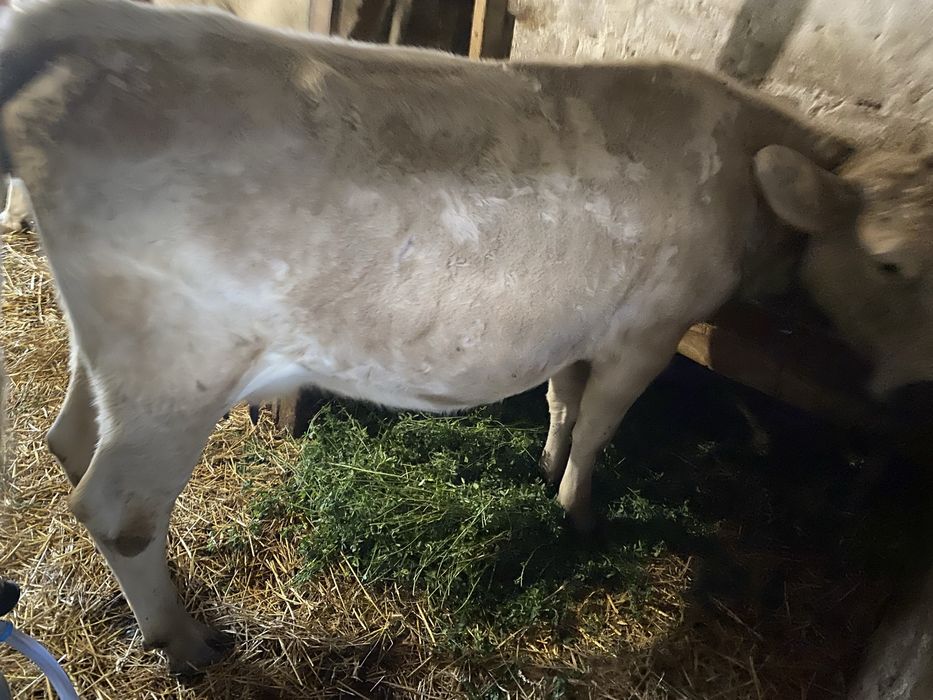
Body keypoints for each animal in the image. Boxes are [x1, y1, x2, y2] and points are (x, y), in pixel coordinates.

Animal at [1, 0, 932, 675]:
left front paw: (547, 464)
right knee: (119, 509)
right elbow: (601, 424)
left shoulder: (582, 320)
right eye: (889, 264)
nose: (920, 392)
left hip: (115, 351)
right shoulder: (650, 326)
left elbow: (563, 397)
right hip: (181, 368)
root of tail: (86, 32)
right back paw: (185, 641)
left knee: (70, 437)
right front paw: (578, 511)